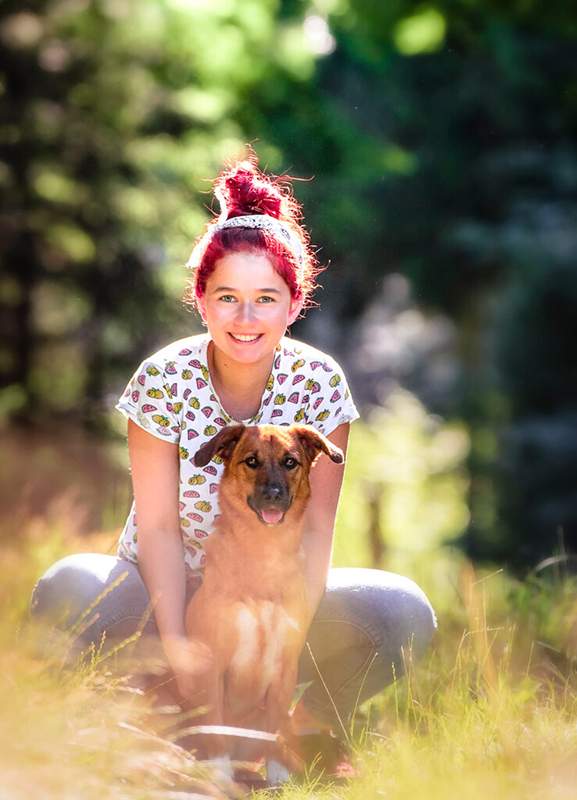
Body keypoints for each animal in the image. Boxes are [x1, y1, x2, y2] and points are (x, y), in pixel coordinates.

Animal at [184, 422, 344, 784]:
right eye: (252, 461)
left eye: (290, 462)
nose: (273, 494)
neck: (264, 553)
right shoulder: (212, 664)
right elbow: (215, 729)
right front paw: (219, 775)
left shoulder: (285, 668)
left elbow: (276, 730)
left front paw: (278, 776)